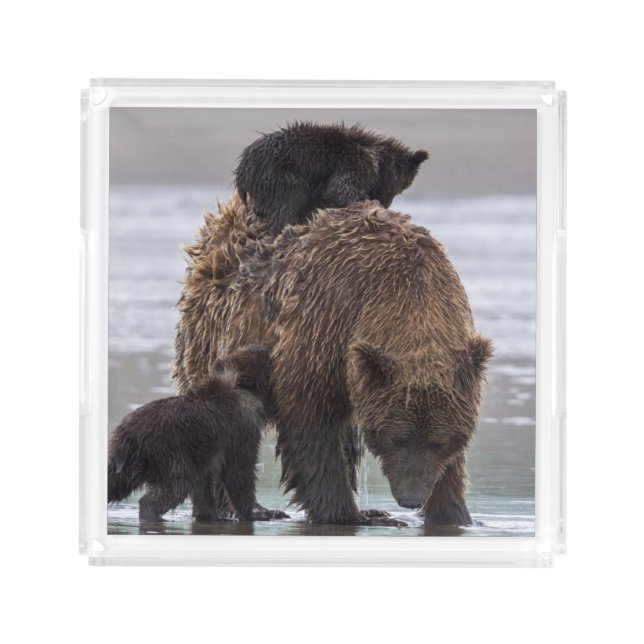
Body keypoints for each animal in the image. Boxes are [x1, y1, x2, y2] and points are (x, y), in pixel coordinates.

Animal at [108, 345, 274, 522]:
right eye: (261, 356)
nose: (266, 348)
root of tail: (127, 436)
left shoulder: (203, 454)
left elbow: (203, 486)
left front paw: (208, 514)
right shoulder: (240, 429)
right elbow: (239, 471)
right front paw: (254, 513)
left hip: (124, 459)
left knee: (114, 483)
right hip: (166, 451)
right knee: (175, 486)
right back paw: (153, 513)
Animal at [172, 196, 492, 526]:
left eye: (440, 441)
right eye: (396, 439)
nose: (411, 498)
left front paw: (453, 513)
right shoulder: (324, 321)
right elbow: (311, 422)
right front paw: (344, 513)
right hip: (212, 340)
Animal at [234, 122, 429, 235]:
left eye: (400, 191)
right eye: (394, 190)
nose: (385, 204)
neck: (378, 160)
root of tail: (244, 164)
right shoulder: (352, 163)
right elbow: (340, 190)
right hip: (280, 172)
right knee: (290, 200)